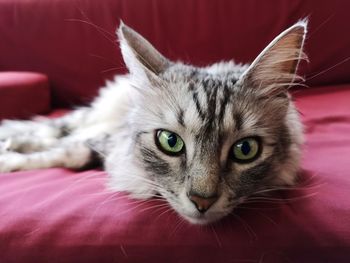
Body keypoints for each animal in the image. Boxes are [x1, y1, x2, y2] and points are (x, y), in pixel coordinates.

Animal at [0, 20, 306, 225]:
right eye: (170, 142)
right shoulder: (107, 144)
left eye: (245, 150)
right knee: (52, 130)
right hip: (87, 117)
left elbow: (68, 152)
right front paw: (9, 159)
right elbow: (62, 153)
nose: (202, 202)